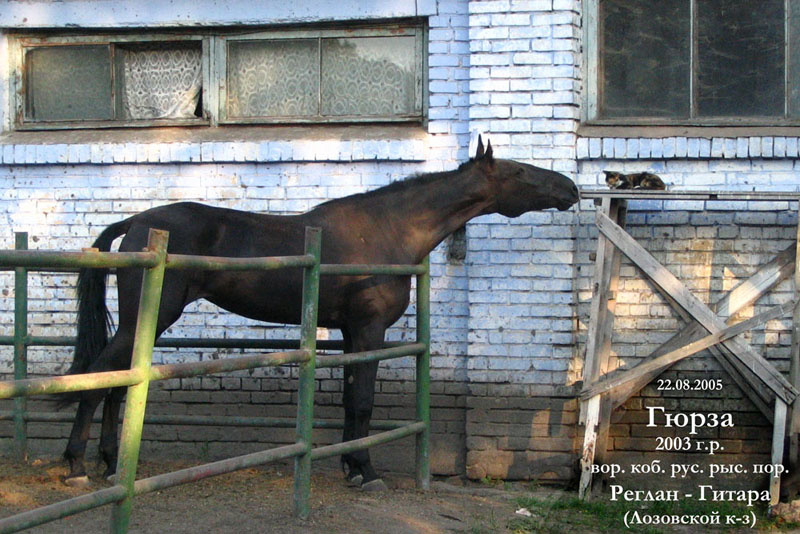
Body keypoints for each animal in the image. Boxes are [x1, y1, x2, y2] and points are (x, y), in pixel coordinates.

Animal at [60, 137, 579, 490]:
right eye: (519, 173)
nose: (570, 188)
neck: (387, 230)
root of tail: (136, 222)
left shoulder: (350, 332)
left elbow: (350, 401)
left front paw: (351, 467)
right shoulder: (369, 330)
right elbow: (364, 401)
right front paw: (367, 471)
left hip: (145, 325)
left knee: (117, 382)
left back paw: (110, 463)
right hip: (145, 320)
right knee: (97, 378)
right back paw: (76, 465)